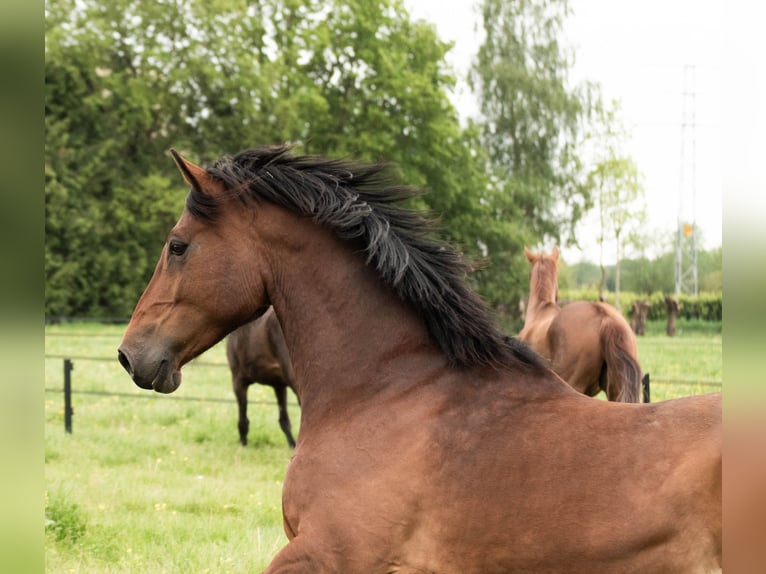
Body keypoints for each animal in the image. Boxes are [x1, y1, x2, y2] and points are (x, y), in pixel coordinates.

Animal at [226, 307, 298, 447]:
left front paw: (243, 444)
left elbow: (243, 419)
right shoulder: (279, 385)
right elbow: (284, 419)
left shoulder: (238, 381)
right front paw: (293, 445)